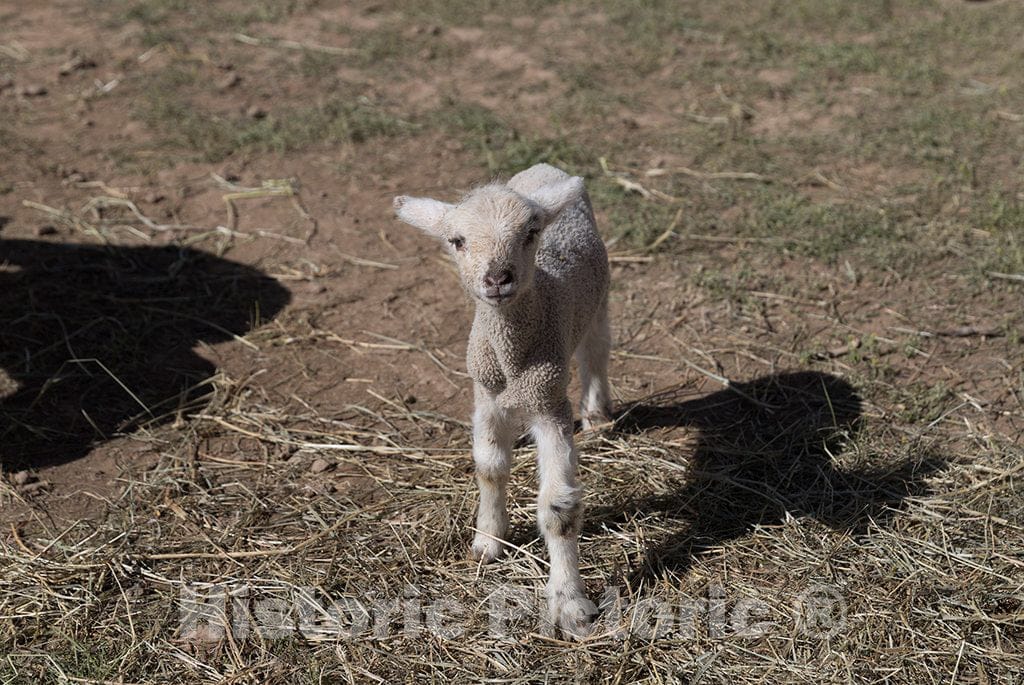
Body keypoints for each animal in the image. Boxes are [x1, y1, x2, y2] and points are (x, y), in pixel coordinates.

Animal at [393, 162, 610, 638]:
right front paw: (488, 541)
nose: (496, 279)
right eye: (456, 240)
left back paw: (599, 414)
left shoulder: (550, 404)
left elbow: (558, 508)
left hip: (600, 298)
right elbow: (489, 470)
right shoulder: (487, 398)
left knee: (596, 351)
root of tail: (544, 167)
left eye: (531, 232)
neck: (513, 361)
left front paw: (569, 604)